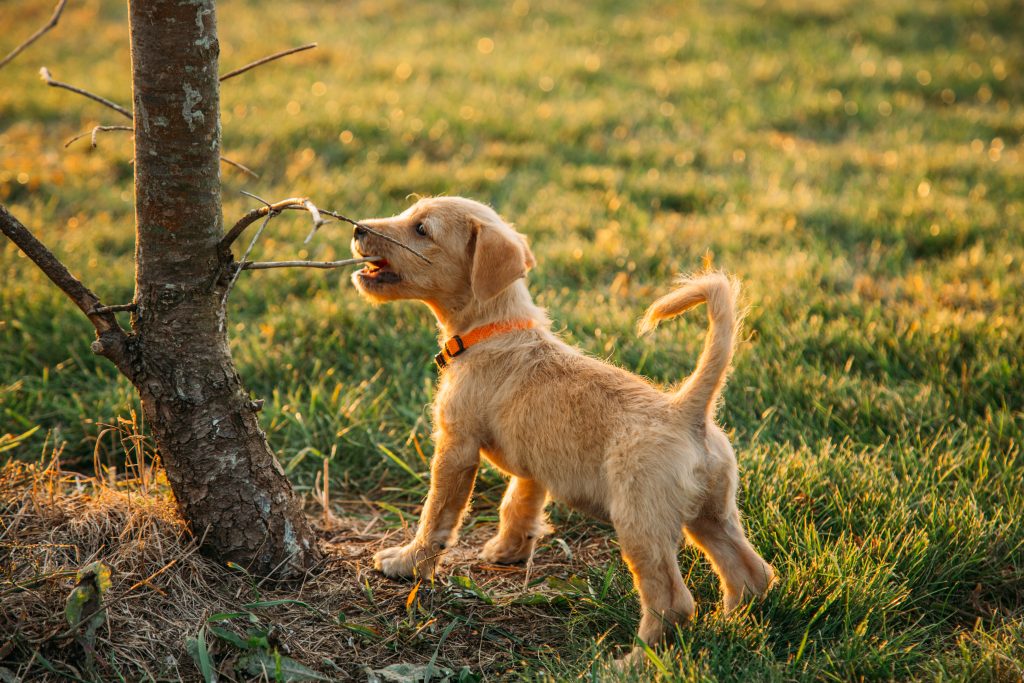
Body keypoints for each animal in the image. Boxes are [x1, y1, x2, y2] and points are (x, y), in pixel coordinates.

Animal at [352, 194, 774, 659]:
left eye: (421, 229)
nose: (357, 228)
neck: (493, 327)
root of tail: (688, 409)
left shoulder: (455, 447)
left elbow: (437, 515)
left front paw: (407, 563)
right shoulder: (533, 467)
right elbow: (518, 506)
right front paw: (508, 551)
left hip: (640, 524)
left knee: (672, 601)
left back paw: (630, 662)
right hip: (712, 514)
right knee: (751, 572)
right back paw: (731, 624)